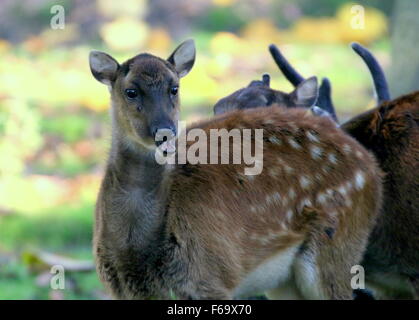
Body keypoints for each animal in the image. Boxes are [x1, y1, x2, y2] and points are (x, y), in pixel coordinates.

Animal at [88, 39, 384, 300]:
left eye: (174, 88)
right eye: (130, 91)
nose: (164, 132)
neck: (136, 248)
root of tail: (371, 163)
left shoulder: (211, 275)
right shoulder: (121, 286)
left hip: (338, 246)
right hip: (287, 280)